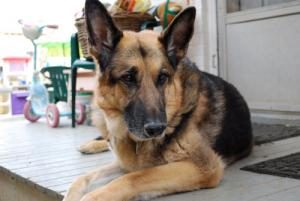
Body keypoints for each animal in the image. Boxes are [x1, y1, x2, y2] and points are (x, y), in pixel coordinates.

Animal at [63, 0, 253, 201]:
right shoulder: (125, 163)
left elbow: (134, 177)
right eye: (128, 77)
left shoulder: (203, 167)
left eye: (162, 77)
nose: (156, 129)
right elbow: (81, 178)